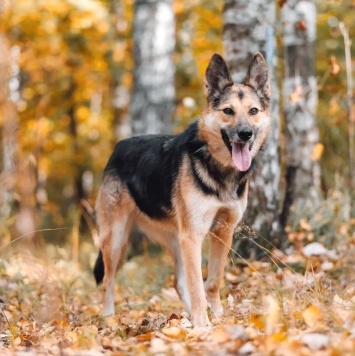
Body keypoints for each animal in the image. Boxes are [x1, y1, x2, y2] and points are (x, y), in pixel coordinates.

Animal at [93, 51, 272, 326]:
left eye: (253, 111)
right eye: (228, 111)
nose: (245, 134)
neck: (219, 170)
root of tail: (117, 148)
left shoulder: (222, 232)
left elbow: (213, 280)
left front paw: (217, 317)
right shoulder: (194, 236)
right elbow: (198, 285)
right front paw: (202, 324)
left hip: (175, 238)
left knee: (178, 282)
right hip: (116, 239)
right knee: (107, 282)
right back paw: (109, 317)